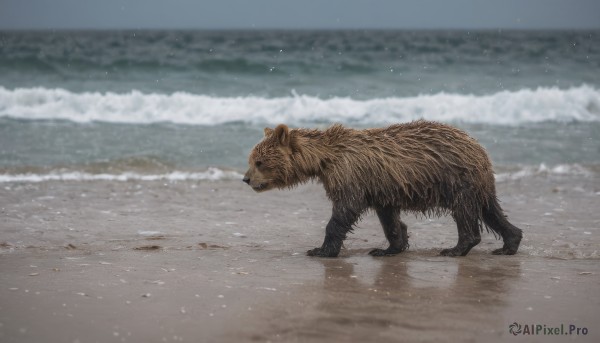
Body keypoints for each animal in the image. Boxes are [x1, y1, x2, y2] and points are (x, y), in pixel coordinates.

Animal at [241, 121, 524, 258]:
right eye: (252, 159)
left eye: (259, 162)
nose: (245, 179)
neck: (324, 160)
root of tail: (477, 146)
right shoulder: (381, 188)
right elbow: (389, 219)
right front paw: (388, 248)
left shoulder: (350, 176)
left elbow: (343, 212)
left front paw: (320, 250)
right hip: (478, 183)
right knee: (491, 210)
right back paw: (509, 243)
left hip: (457, 178)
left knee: (465, 212)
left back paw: (456, 248)